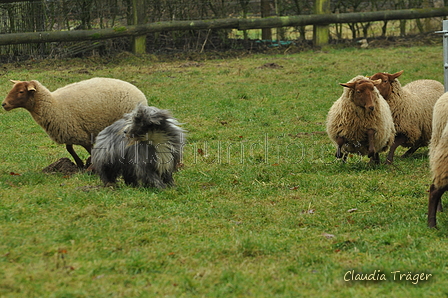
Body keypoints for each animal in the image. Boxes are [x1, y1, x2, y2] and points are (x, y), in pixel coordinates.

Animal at [2, 77, 149, 168]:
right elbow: (69, 149)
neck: (53, 105)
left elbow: (90, 150)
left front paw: (90, 165)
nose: (4, 104)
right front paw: (79, 164)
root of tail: (140, 95)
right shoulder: (67, 130)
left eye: (21, 91)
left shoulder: (81, 134)